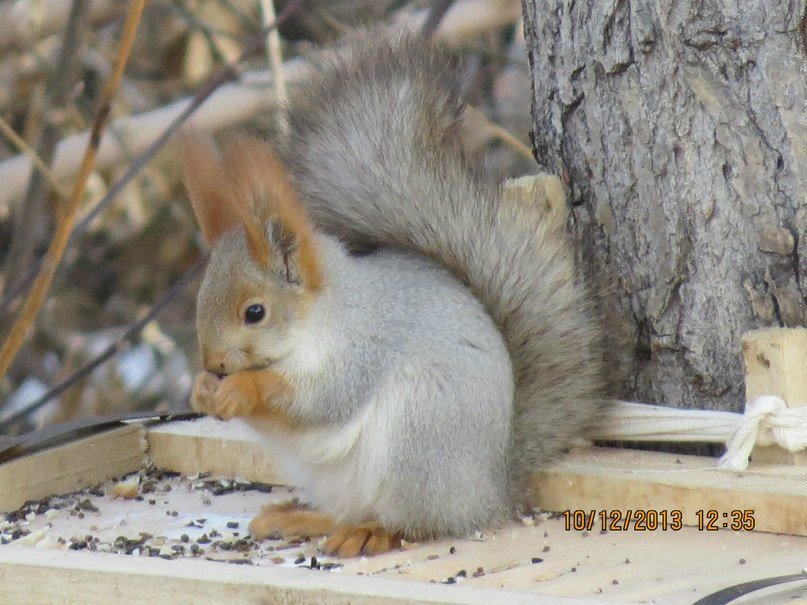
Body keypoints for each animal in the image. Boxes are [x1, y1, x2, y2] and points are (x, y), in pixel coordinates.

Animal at [178, 28, 608, 556]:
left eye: (254, 312)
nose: (215, 363)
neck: (324, 316)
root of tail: (489, 493)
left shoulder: (365, 345)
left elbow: (319, 399)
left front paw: (243, 387)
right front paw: (202, 390)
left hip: (417, 441)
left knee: (416, 523)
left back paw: (371, 533)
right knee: (349, 509)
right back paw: (301, 518)